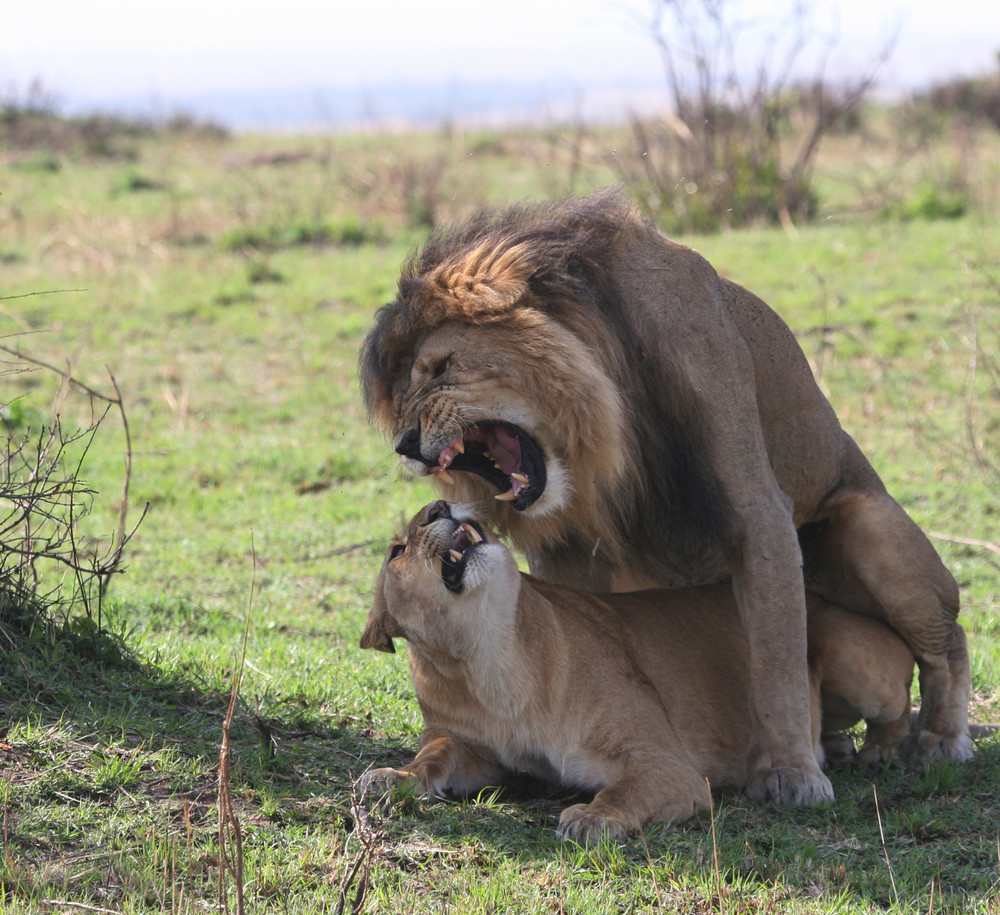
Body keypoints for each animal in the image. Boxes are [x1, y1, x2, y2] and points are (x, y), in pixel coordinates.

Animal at [358, 190, 968, 804]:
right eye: (403, 396)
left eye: (441, 367)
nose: (405, 444)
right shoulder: (570, 544)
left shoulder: (756, 509)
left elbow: (778, 660)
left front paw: (792, 771)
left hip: (873, 538)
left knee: (947, 640)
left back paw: (935, 739)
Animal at [358, 500, 916, 844]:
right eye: (397, 550)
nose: (441, 506)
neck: (489, 657)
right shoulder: (477, 749)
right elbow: (434, 756)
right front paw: (393, 777)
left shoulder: (668, 765)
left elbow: (623, 790)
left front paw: (592, 817)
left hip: (852, 657)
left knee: (899, 705)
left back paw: (875, 754)